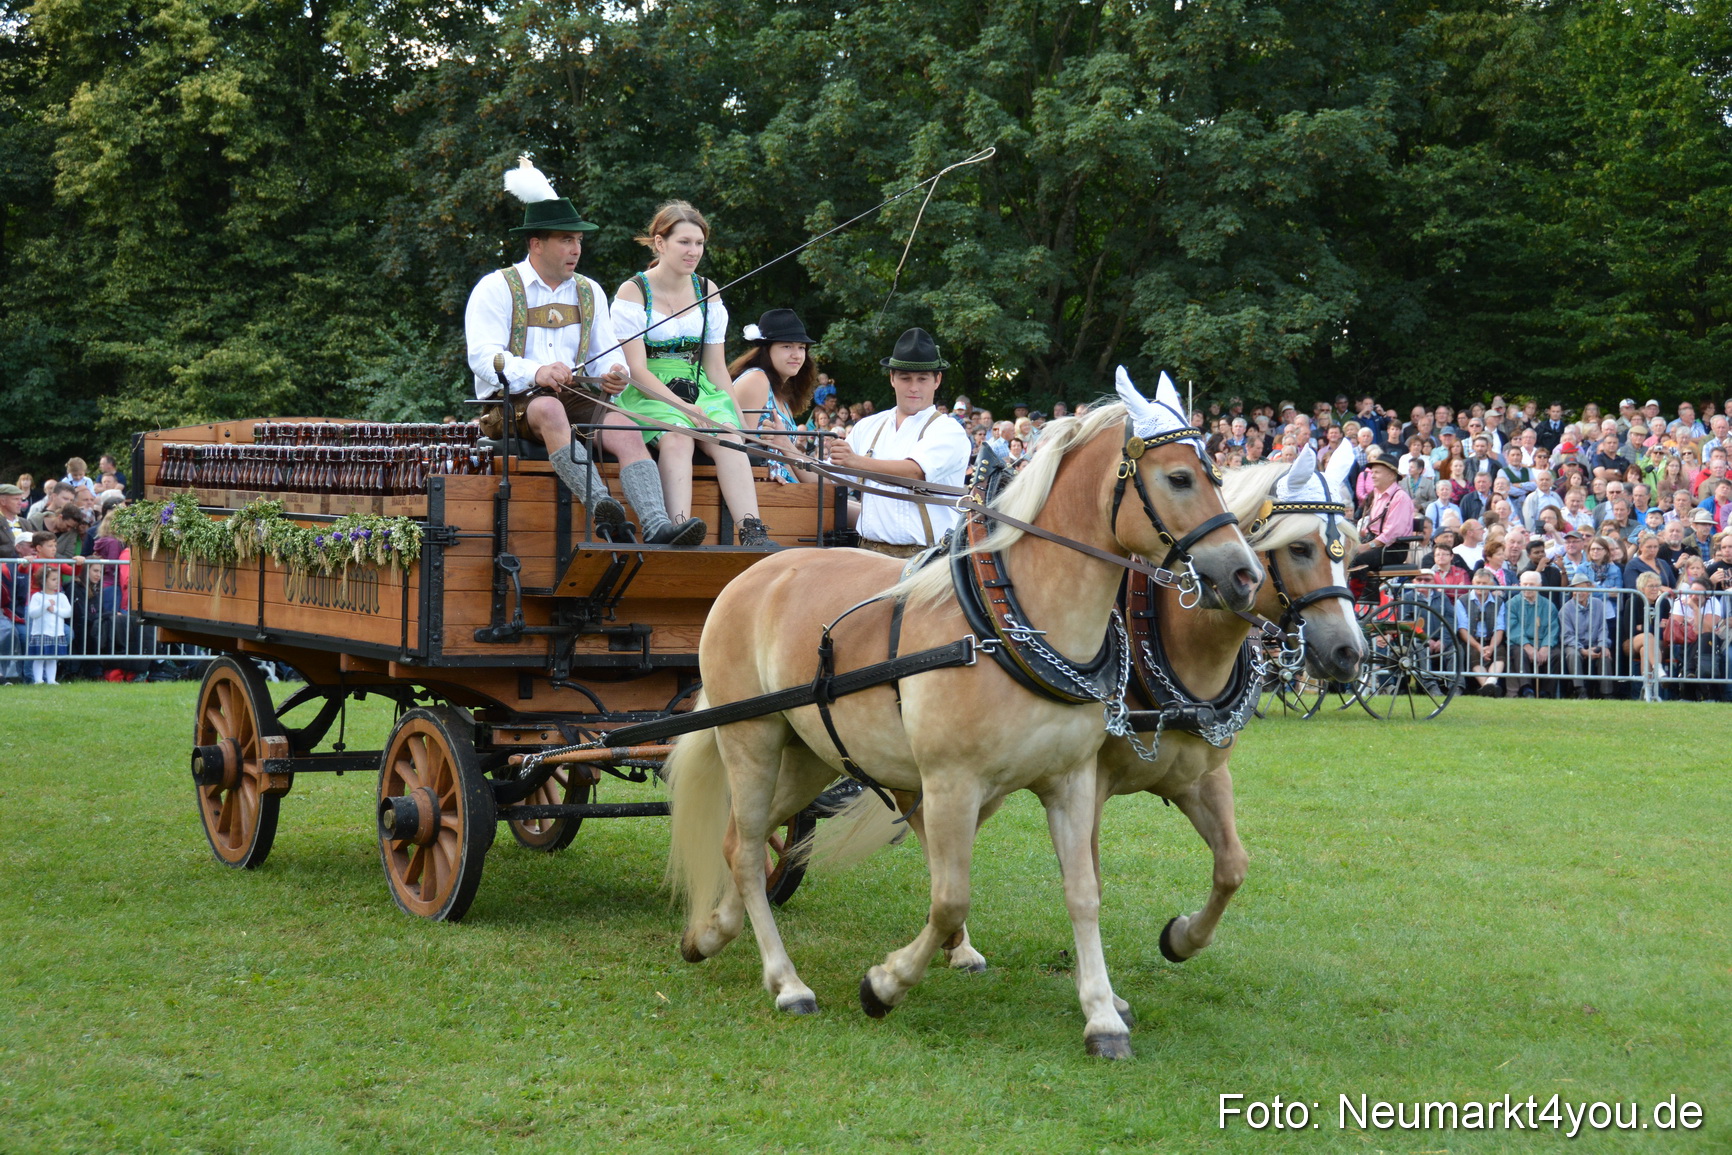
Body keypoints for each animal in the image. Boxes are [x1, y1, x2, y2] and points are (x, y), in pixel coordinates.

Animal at [665, 370, 1263, 1058]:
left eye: (1217, 473)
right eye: (1180, 478)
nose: (1243, 574)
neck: (1010, 624)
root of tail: (755, 573)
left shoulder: (1072, 781)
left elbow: (1083, 892)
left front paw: (1102, 1015)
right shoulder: (952, 782)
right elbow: (950, 897)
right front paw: (885, 984)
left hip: (812, 755)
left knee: (746, 838)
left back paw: (710, 934)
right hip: (751, 737)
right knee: (744, 849)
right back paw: (786, 982)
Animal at [820, 446, 1366, 1021]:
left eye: (1350, 551)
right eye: (1301, 548)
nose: (1350, 653)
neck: (1166, 641)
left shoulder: (1203, 778)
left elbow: (1232, 866)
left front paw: (1181, 939)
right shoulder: (1093, 780)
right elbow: (1092, 878)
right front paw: (1107, 994)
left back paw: (956, 946)